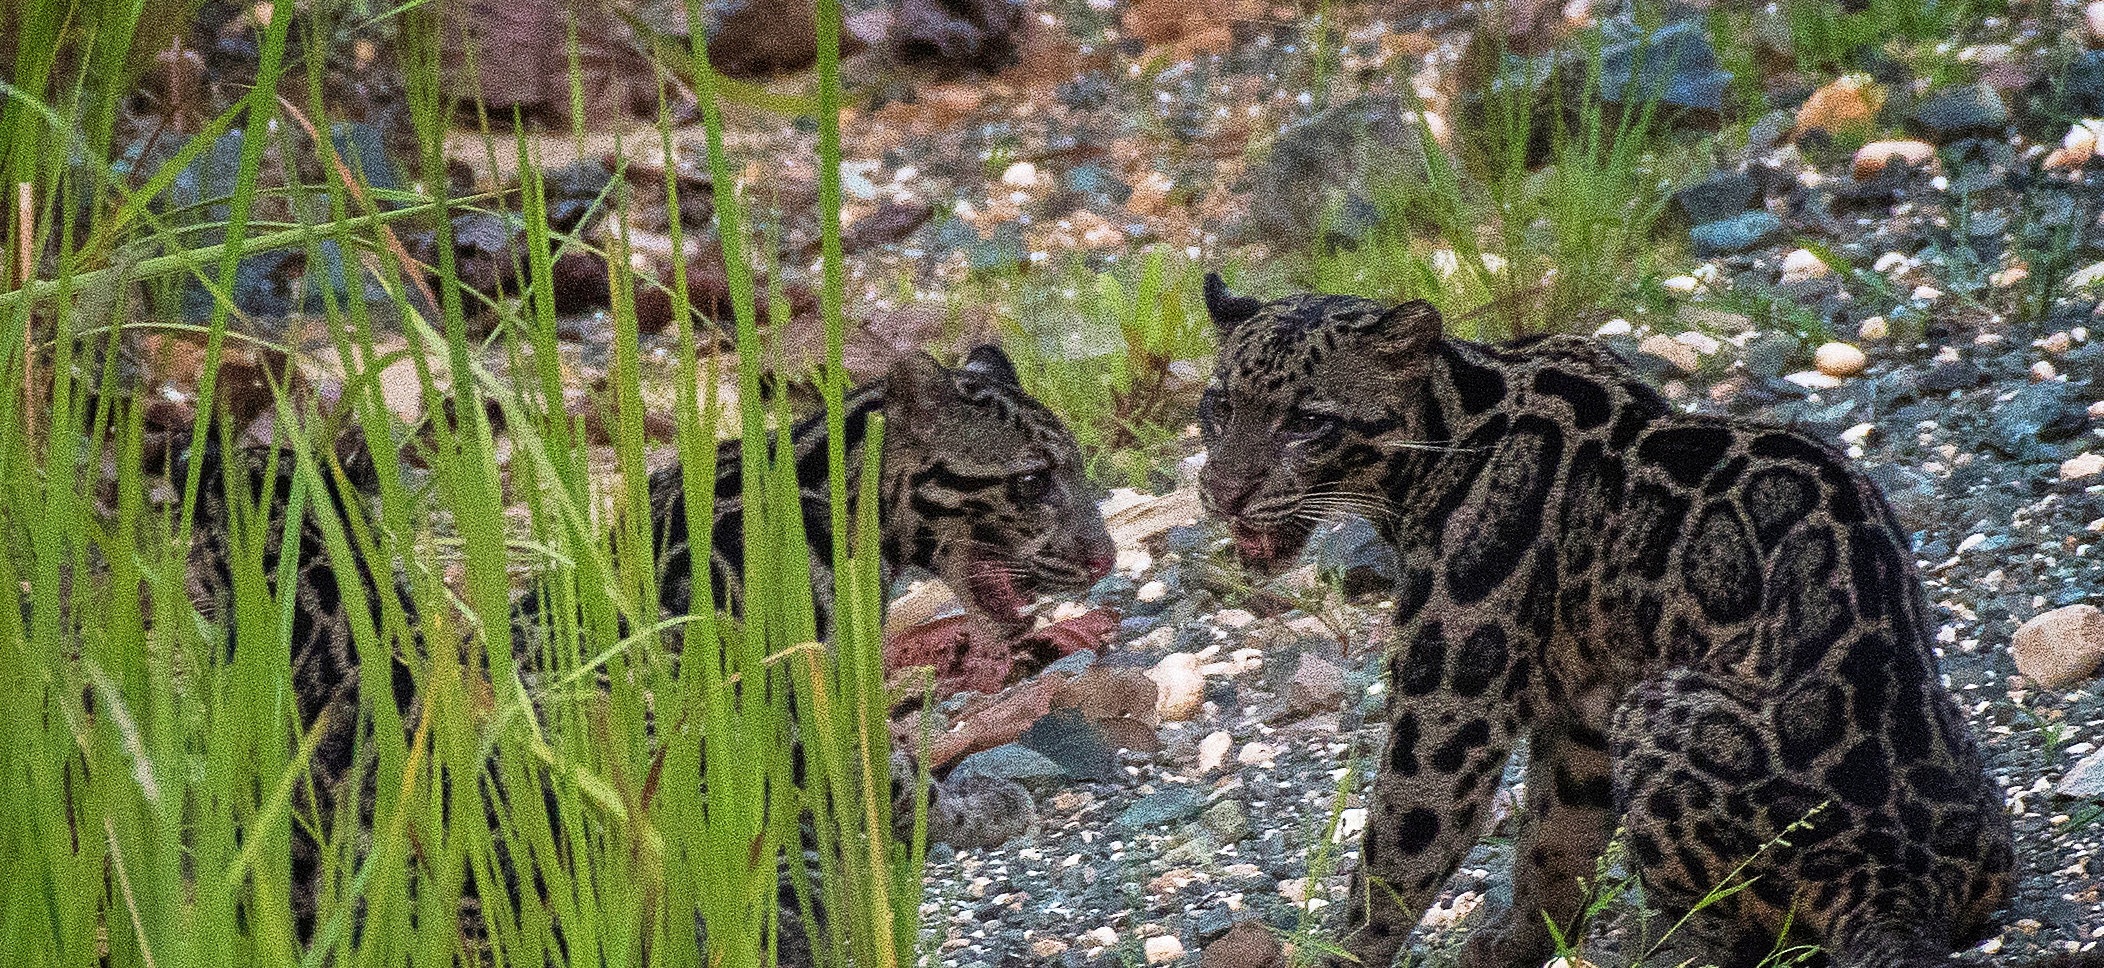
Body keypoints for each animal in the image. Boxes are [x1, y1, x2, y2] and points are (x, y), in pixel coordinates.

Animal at [1193, 274, 2017, 968]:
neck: (1449, 426)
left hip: (1659, 708)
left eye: (1307, 422)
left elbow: (1400, 847)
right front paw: (1517, 943)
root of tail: (1900, 880)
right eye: (1220, 407)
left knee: (1730, 936)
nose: (1224, 491)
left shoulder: (1450, 702)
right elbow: (1555, 839)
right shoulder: (1585, 709)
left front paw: (1338, 951)